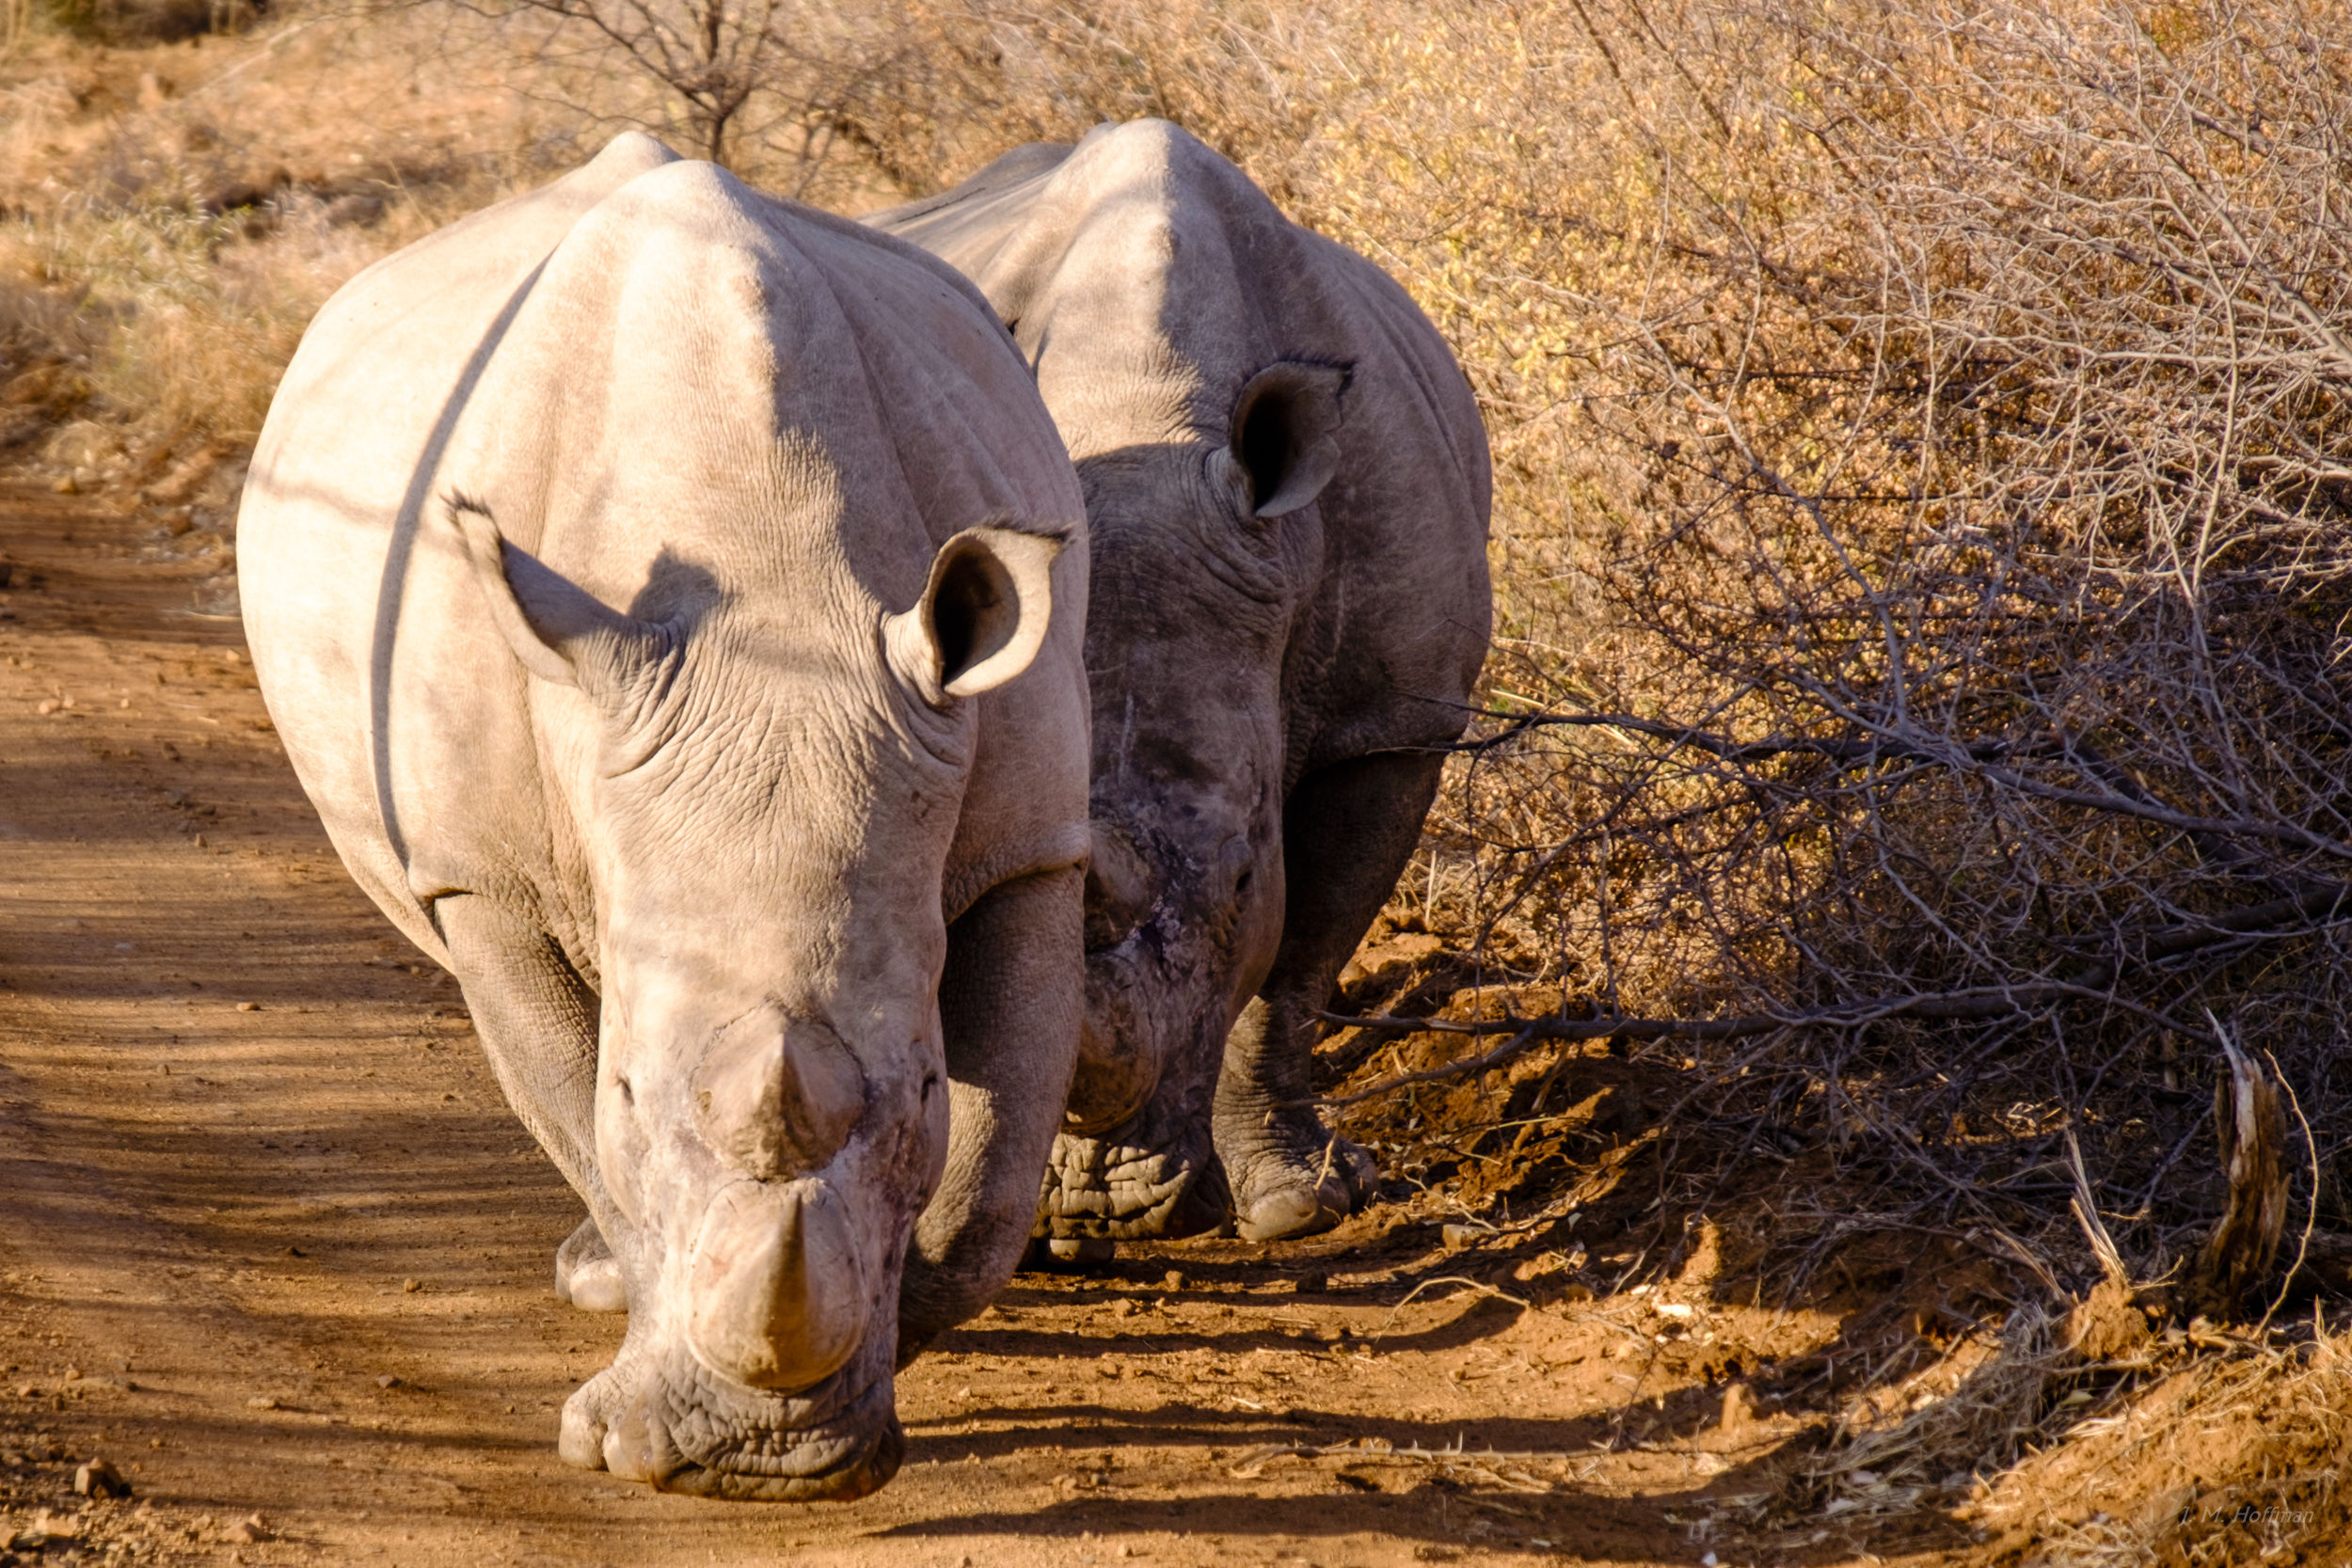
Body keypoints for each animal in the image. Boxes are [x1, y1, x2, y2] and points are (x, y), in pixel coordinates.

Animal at [237, 133, 1091, 1500]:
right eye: (634, 1091)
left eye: (918, 1087)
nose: (764, 1465)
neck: (772, 583)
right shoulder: (481, 876)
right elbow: (574, 1107)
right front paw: (635, 1404)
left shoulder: (1031, 839)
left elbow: (990, 1175)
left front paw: (884, 1344)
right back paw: (591, 1274)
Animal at [869, 121, 1491, 1248]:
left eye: (1243, 877)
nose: (1091, 1209)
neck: (1145, 400)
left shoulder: (1393, 718)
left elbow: (1298, 960)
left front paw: (1293, 1201)